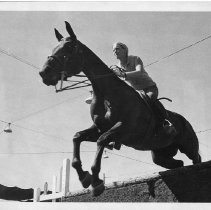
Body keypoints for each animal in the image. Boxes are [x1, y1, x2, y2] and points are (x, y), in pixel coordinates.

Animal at [38, 20, 202, 195]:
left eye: (69, 47)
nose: (44, 73)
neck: (107, 94)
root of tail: (185, 120)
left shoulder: (125, 130)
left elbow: (102, 141)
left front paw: (96, 182)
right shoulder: (99, 128)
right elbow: (77, 137)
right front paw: (84, 177)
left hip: (188, 145)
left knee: (196, 158)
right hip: (159, 153)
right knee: (177, 163)